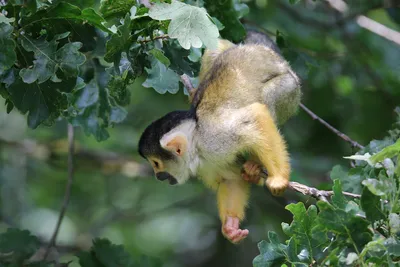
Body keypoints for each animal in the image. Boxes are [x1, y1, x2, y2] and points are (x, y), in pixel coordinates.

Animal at [138, 31, 300, 245]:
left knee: (267, 97)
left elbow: (255, 116)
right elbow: (230, 179)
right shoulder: (211, 162)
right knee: (214, 49)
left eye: (156, 164)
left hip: (290, 88)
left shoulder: (215, 139)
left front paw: (279, 178)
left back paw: (255, 164)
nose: (158, 175)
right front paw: (230, 225)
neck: (197, 145)